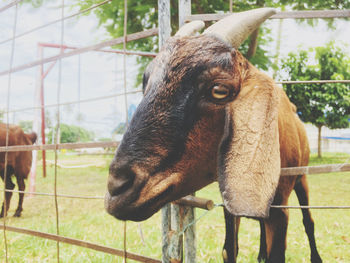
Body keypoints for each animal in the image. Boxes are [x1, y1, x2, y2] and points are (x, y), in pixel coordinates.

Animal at [105, 8, 322, 263]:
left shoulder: (280, 208)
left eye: (218, 90)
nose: (116, 187)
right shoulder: (231, 204)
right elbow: (230, 249)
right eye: (145, 82)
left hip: (302, 177)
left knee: (308, 221)